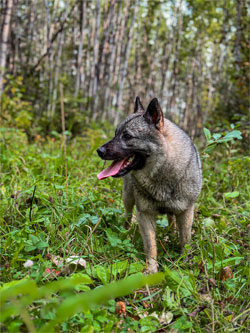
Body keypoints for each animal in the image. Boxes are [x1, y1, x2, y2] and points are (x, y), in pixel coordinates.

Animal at [96, 96, 202, 272]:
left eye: (127, 136)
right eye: (116, 133)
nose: (99, 151)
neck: (163, 171)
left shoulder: (186, 212)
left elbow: (185, 240)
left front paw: (185, 262)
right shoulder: (144, 215)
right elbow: (151, 246)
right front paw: (152, 269)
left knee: (171, 220)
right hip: (128, 197)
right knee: (127, 215)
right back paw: (125, 232)